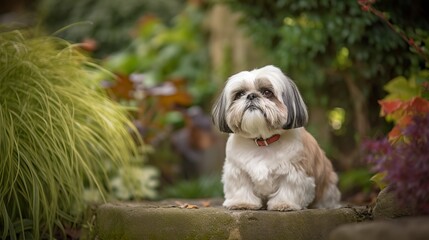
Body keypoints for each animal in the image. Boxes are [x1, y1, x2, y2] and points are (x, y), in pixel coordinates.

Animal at [212, 65, 340, 210]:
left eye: (267, 92)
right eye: (239, 94)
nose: (251, 95)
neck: (263, 141)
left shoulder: (294, 171)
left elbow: (289, 188)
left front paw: (284, 203)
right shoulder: (237, 170)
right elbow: (241, 186)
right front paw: (242, 202)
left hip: (328, 187)